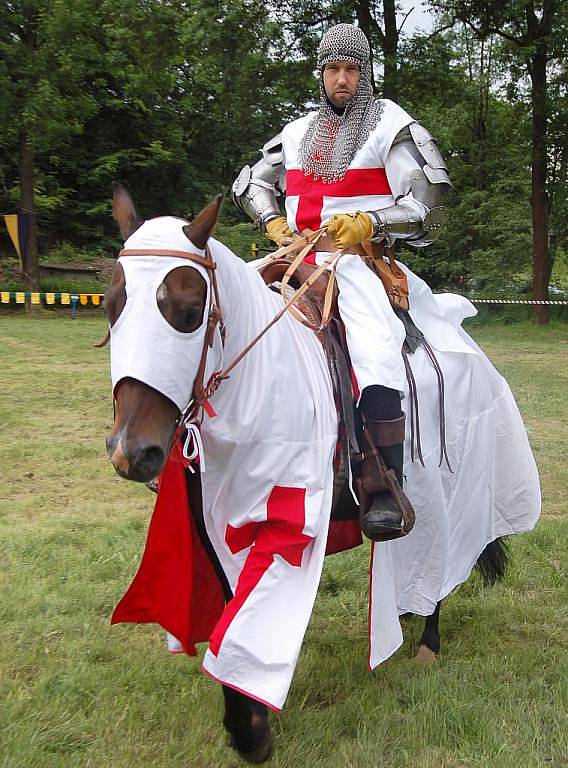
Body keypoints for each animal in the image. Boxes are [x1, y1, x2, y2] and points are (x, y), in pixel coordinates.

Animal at [103, 184, 540, 760]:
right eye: (111, 307)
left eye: (189, 311)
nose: (132, 453)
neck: (261, 380)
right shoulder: (221, 528)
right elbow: (231, 610)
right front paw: (248, 720)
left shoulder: (287, 525)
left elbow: (248, 619)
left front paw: (250, 731)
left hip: (452, 491)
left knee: (441, 561)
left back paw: (427, 636)